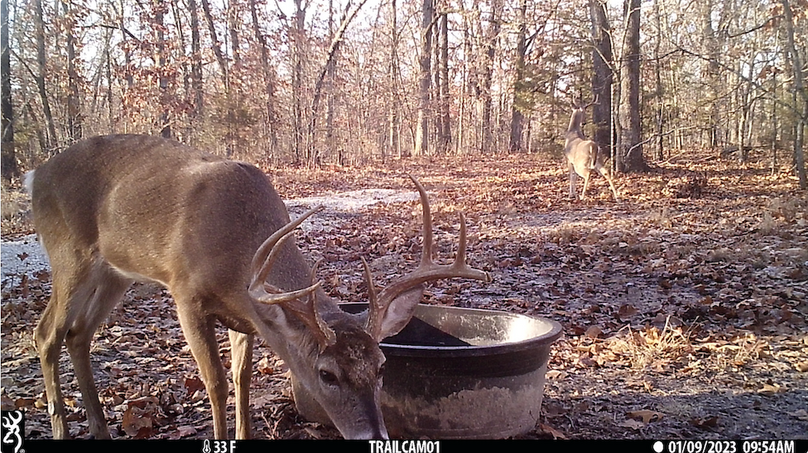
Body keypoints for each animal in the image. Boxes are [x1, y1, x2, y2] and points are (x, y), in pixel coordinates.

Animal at [25, 134, 492, 440]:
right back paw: (61, 428)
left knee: (77, 334)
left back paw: (100, 430)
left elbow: (242, 379)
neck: (236, 252)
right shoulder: (185, 293)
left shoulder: (247, 313)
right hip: (69, 252)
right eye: (327, 374)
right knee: (45, 332)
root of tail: (36, 173)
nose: (374, 437)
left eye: (381, 367)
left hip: (114, 273)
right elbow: (216, 381)